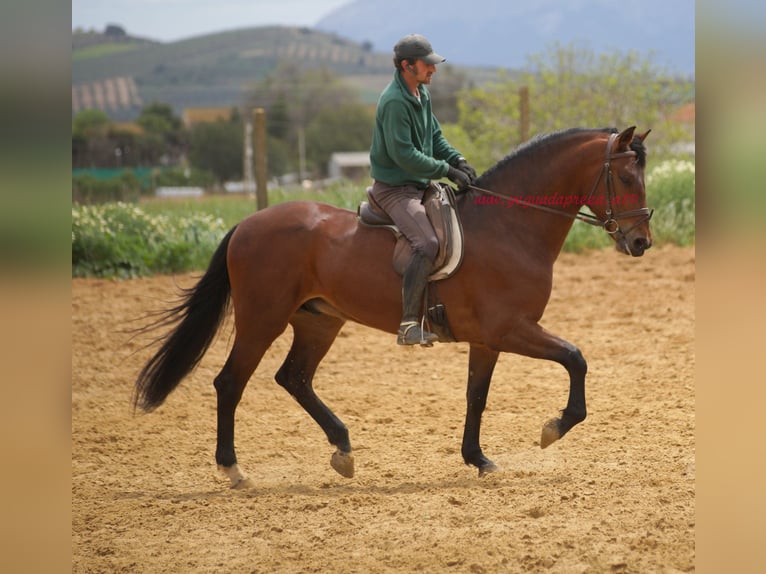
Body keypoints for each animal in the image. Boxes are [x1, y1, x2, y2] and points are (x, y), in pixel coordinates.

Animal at [134, 126, 653, 489]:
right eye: (627, 176)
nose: (641, 242)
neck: (509, 227)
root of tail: (248, 223)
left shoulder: (488, 340)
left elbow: (477, 396)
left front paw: (478, 459)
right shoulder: (511, 329)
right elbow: (576, 359)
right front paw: (553, 428)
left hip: (319, 322)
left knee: (294, 378)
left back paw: (343, 450)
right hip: (262, 320)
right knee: (230, 383)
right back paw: (234, 470)